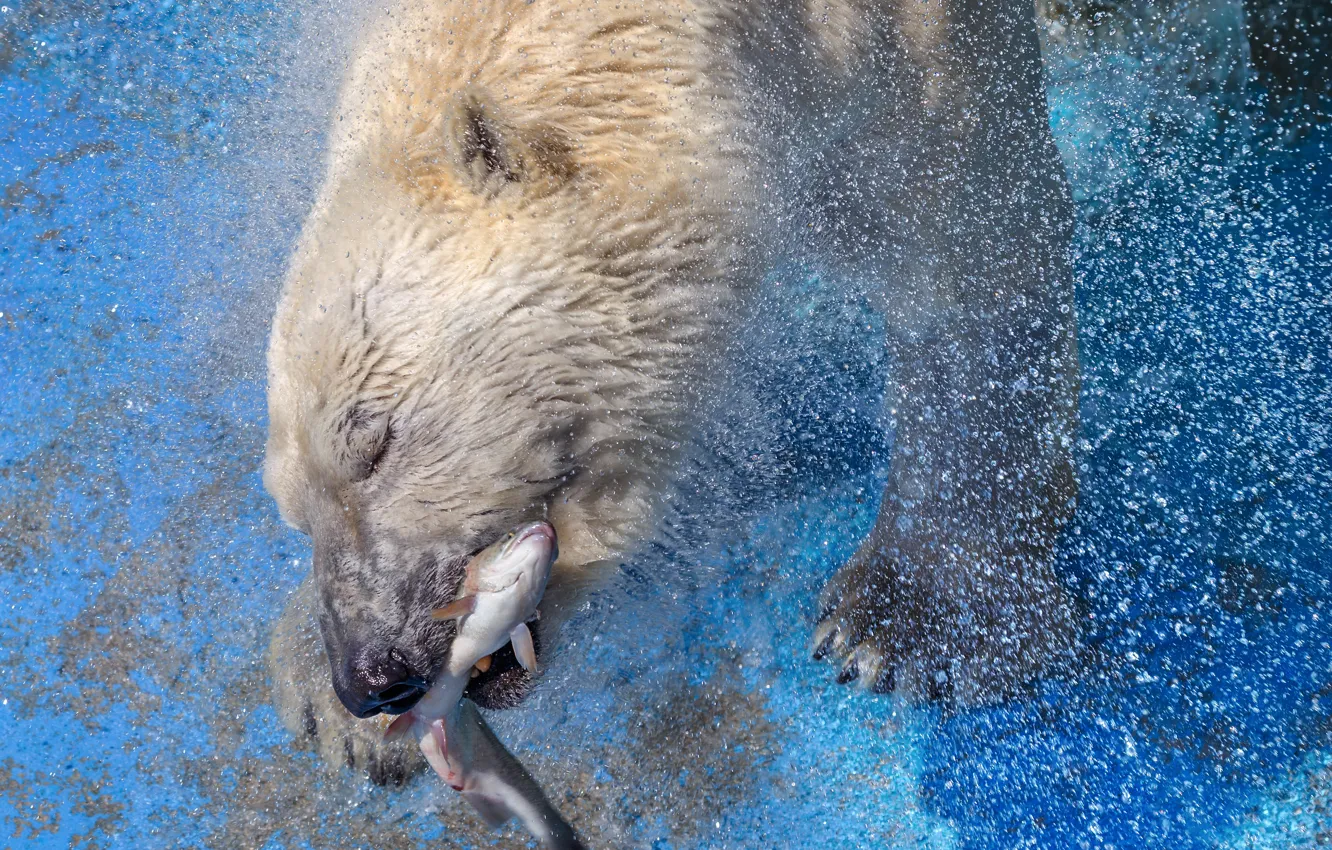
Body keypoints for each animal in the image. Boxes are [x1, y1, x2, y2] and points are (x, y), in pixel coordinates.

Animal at [264, 0, 1080, 784]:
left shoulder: (915, 54)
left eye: (374, 441)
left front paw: (913, 621)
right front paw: (326, 697)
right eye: (293, 510)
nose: (369, 677)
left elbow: (968, 265)